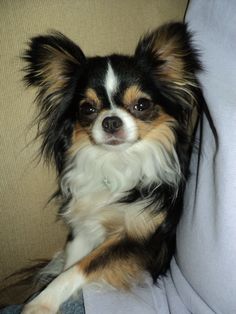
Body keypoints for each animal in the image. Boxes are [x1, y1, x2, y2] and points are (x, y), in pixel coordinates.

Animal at [21, 22, 203, 314]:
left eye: (142, 105)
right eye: (87, 108)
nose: (111, 121)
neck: (118, 161)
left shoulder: (136, 239)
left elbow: (80, 268)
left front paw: (42, 302)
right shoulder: (84, 225)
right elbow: (72, 260)